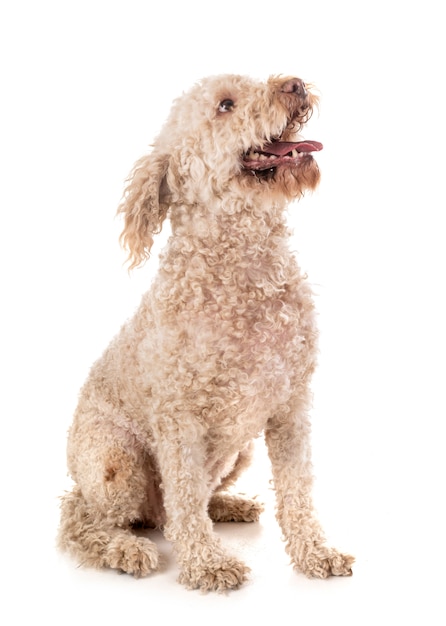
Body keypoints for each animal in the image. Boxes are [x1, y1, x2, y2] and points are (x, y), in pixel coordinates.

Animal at [57, 75, 354, 588]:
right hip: (117, 461)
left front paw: (315, 553)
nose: (294, 84)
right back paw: (123, 548)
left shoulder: (291, 405)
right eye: (225, 105)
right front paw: (207, 563)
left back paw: (228, 504)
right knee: (84, 518)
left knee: (169, 511)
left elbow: (297, 491)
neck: (246, 269)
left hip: (240, 452)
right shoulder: (179, 421)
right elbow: (184, 495)